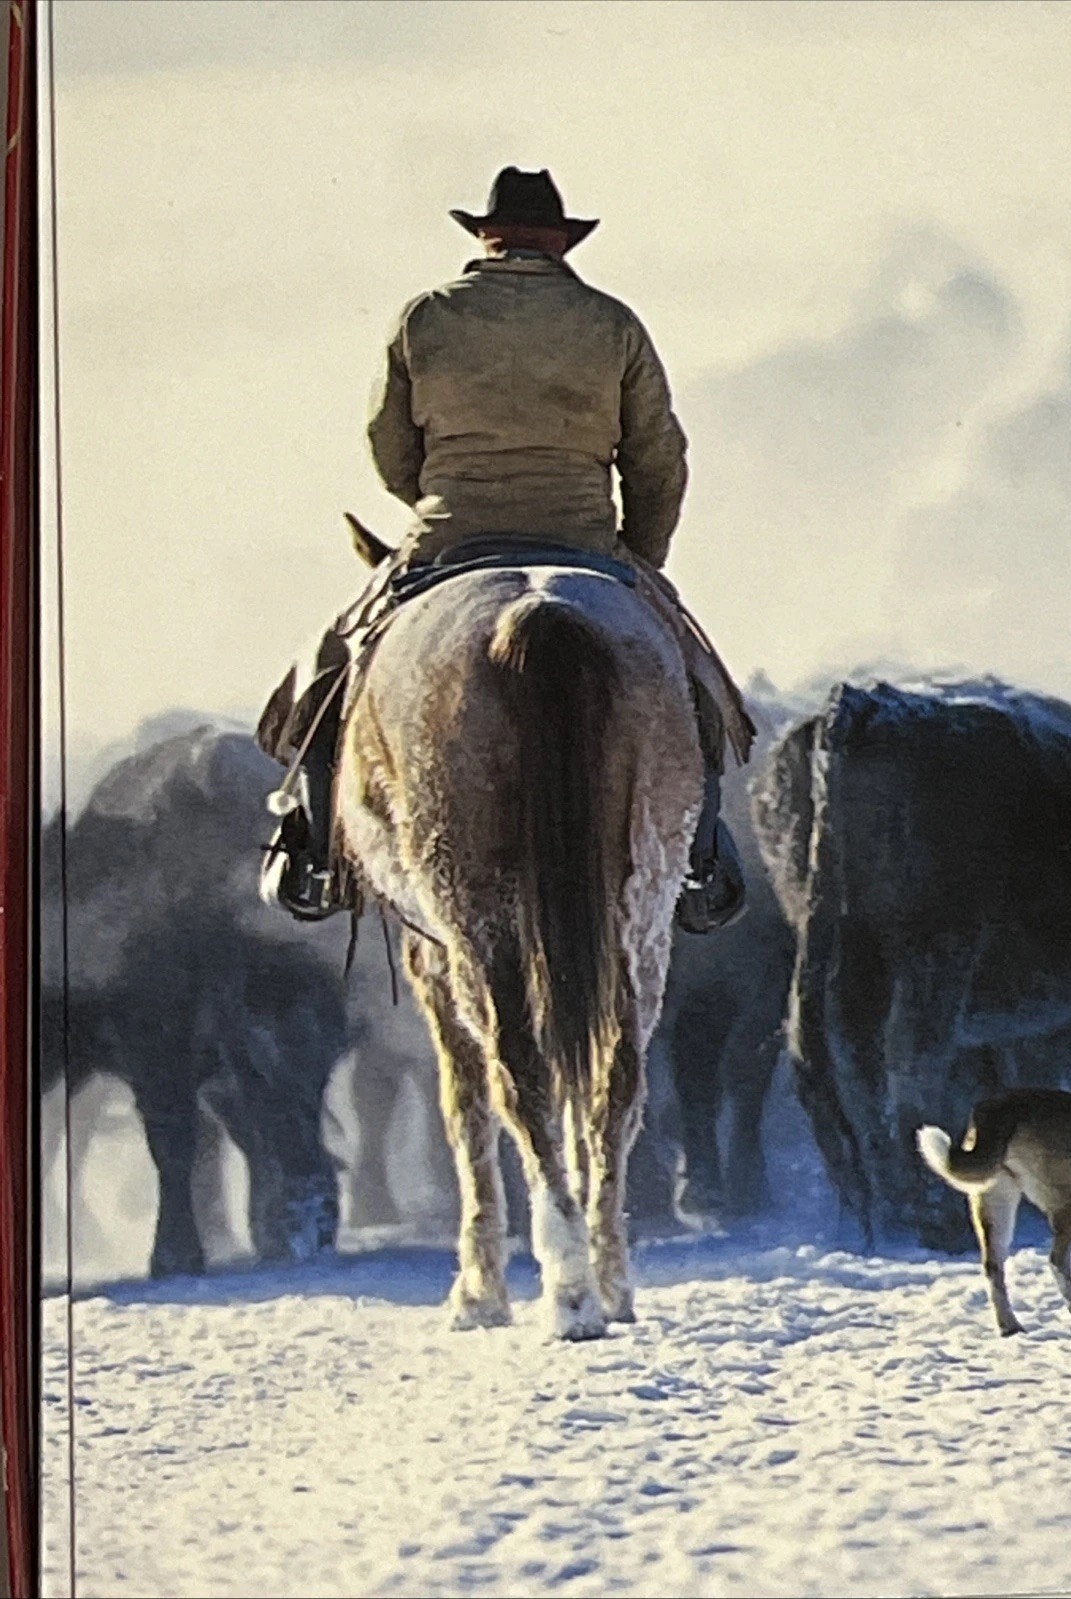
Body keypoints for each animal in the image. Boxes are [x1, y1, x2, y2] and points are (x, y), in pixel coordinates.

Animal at [333, 548, 703, 1339]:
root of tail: (540, 617)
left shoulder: (434, 958)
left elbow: (464, 1104)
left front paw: (478, 1293)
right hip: (642, 903)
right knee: (614, 1074)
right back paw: (609, 1280)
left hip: (475, 907)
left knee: (517, 1073)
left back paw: (568, 1293)